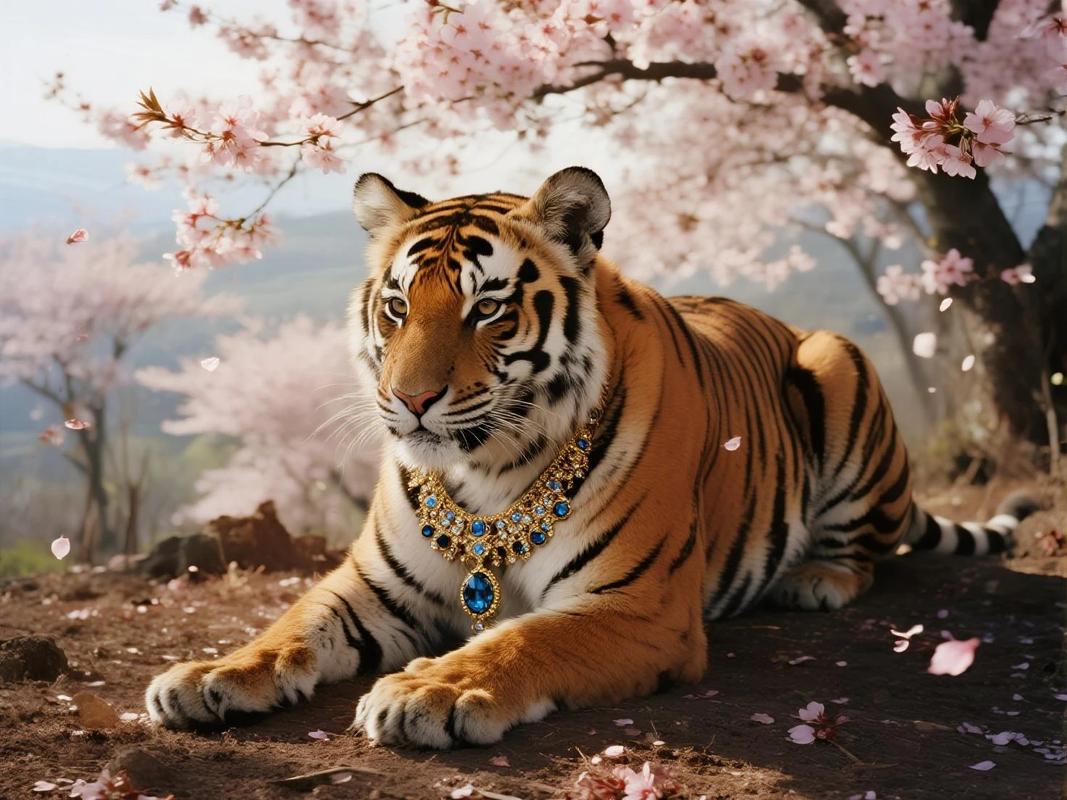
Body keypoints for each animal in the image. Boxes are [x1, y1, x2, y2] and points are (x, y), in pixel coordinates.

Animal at [146, 166, 1036, 746]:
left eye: (486, 309)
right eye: (397, 306)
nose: (409, 398)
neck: (483, 475)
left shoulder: (637, 604)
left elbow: (522, 639)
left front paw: (430, 687)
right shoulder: (369, 588)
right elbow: (288, 624)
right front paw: (207, 677)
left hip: (836, 359)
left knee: (866, 553)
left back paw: (813, 578)